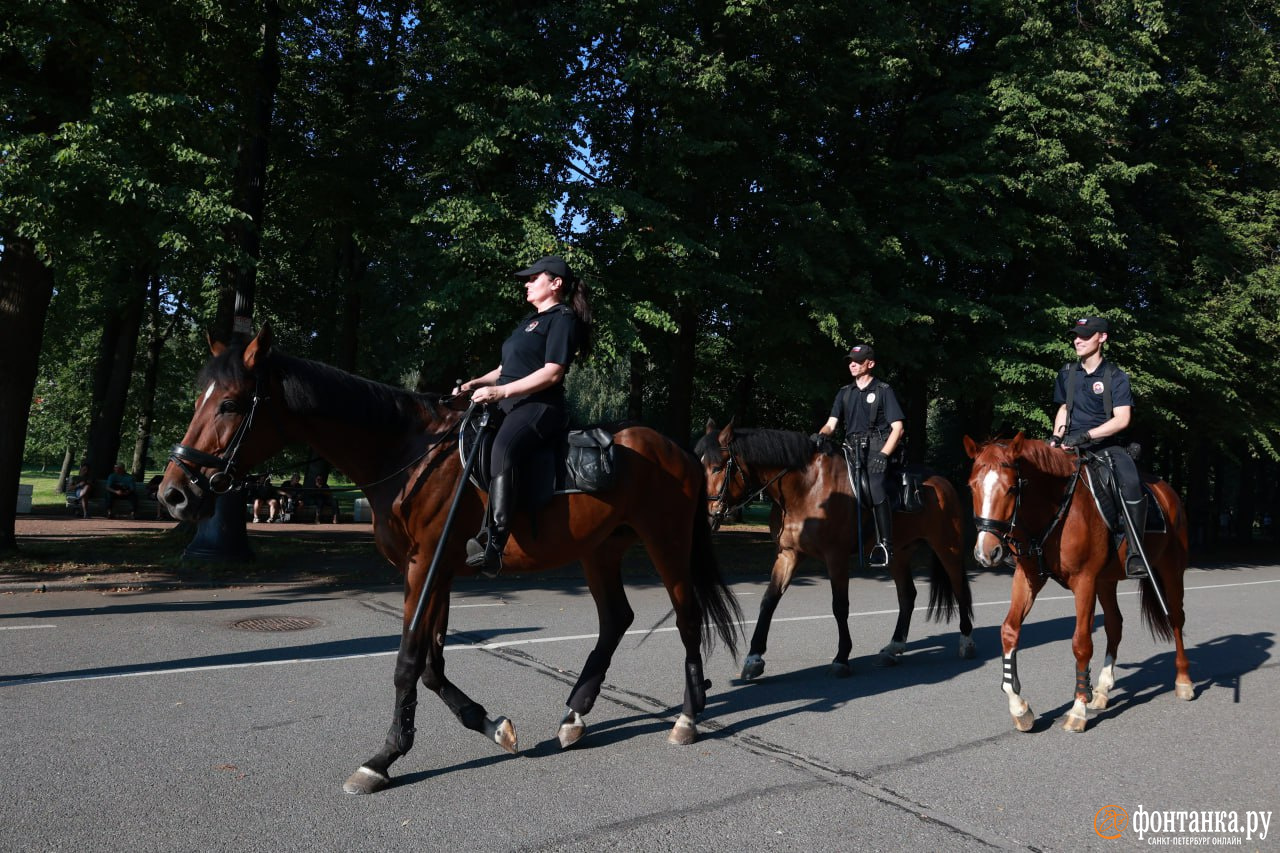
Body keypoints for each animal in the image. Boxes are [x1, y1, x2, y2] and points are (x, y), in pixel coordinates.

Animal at [158, 330, 742, 788]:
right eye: (201, 399)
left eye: (230, 404)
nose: (174, 494)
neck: (405, 454)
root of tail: (678, 450)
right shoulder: (432, 572)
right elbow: (432, 665)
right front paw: (487, 724)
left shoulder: (426, 569)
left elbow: (408, 663)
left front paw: (383, 758)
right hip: (600, 549)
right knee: (616, 618)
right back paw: (576, 713)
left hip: (666, 543)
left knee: (687, 618)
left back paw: (688, 717)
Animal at [696, 420, 972, 676]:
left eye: (717, 467)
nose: (706, 518)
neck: (806, 487)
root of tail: (942, 481)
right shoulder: (789, 554)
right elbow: (769, 600)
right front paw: (754, 658)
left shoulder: (835, 557)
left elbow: (839, 605)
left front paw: (841, 658)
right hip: (898, 555)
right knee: (907, 595)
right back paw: (894, 647)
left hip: (948, 548)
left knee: (960, 588)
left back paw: (966, 640)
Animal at [962, 432, 1192, 732]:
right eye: (972, 487)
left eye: (1012, 488)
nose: (986, 552)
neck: (1055, 508)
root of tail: (1168, 493)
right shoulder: (1029, 577)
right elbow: (1009, 631)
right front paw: (1019, 707)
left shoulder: (1084, 581)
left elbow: (1081, 642)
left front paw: (1078, 709)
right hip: (1106, 580)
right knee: (1114, 624)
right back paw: (1103, 690)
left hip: (1170, 570)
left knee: (1176, 618)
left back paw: (1184, 681)